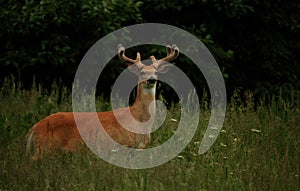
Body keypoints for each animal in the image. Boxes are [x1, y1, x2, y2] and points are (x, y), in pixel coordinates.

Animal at [25, 44, 178, 160]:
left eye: (156, 72)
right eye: (141, 72)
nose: (151, 79)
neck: (138, 120)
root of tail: (34, 128)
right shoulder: (120, 147)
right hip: (44, 147)